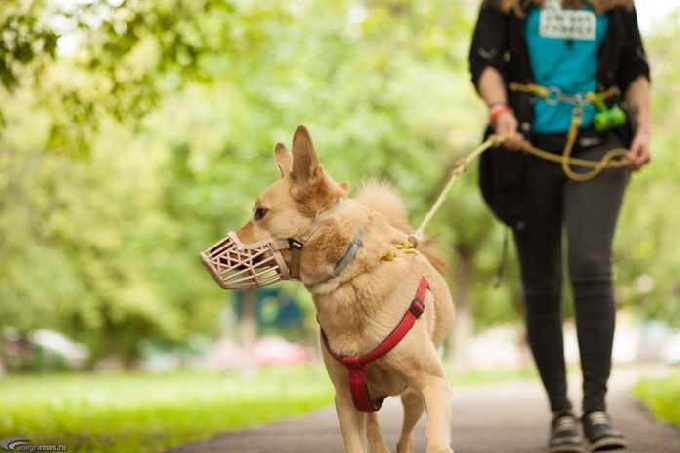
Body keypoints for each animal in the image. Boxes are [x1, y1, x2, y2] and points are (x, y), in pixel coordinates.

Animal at [202, 125, 456, 450]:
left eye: (260, 212)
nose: (204, 257)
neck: (349, 276)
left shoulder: (433, 383)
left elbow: (436, 440)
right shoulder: (346, 398)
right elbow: (355, 445)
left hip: (412, 398)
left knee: (404, 438)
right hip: (367, 400)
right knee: (376, 434)